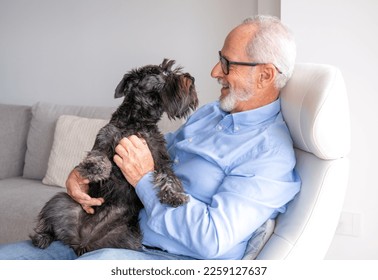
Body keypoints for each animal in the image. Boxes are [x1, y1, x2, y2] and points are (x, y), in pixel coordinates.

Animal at [29, 59, 198, 256]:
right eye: (163, 72)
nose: (192, 79)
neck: (137, 122)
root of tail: (81, 242)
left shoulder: (158, 157)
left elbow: (168, 176)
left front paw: (175, 196)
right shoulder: (106, 136)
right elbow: (99, 153)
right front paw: (94, 168)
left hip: (126, 237)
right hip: (61, 201)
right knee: (49, 224)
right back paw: (42, 237)